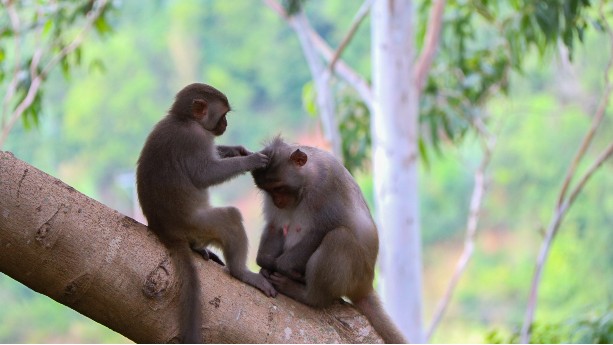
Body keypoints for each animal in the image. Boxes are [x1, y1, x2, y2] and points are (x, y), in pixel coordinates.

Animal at [137, 82, 276, 342]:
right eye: (223, 114)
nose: (226, 124)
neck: (183, 119)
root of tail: (166, 231)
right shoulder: (194, 139)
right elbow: (205, 175)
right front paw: (250, 160)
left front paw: (237, 150)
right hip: (197, 224)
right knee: (229, 218)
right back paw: (241, 272)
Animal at [251, 136, 408, 342]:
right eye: (268, 190)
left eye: (279, 187)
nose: (277, 201)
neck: (307, 179)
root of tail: (366, 285)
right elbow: (276, 226)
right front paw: (266, 263)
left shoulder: (326, 184)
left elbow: (321, 230)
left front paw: (281, 266)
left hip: (354, 275)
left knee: (340, 237)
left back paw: (307, 294)